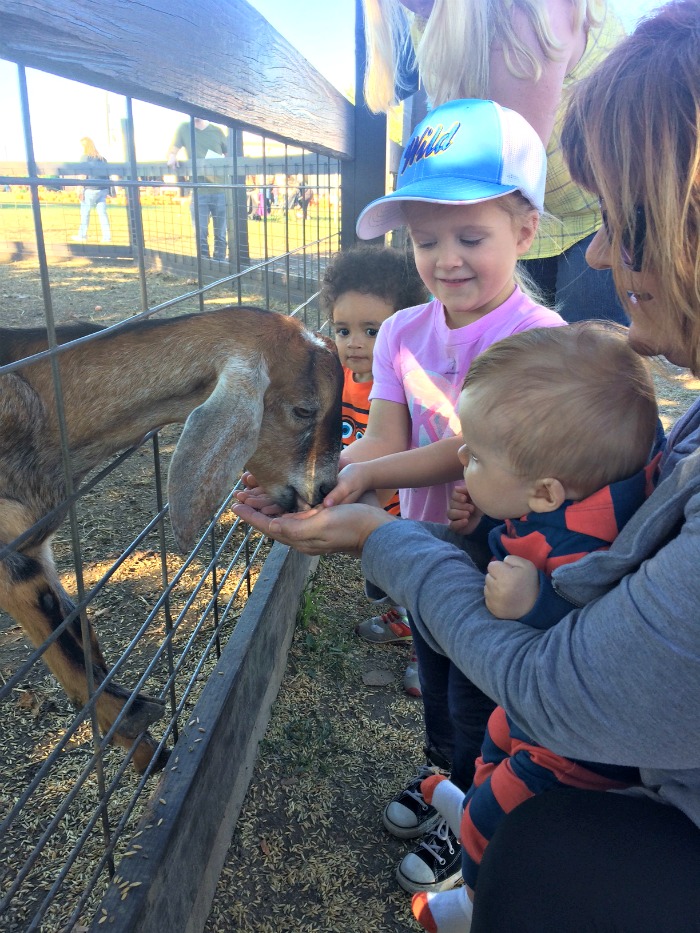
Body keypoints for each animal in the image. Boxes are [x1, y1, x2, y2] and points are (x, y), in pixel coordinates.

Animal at [0, 306, 344, 772]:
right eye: (304, 409)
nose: (326, 489)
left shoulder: (37, 547)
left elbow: (74, 628)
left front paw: (150, 751)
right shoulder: (13, 554)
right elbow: (62, 642)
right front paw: (136, 729)